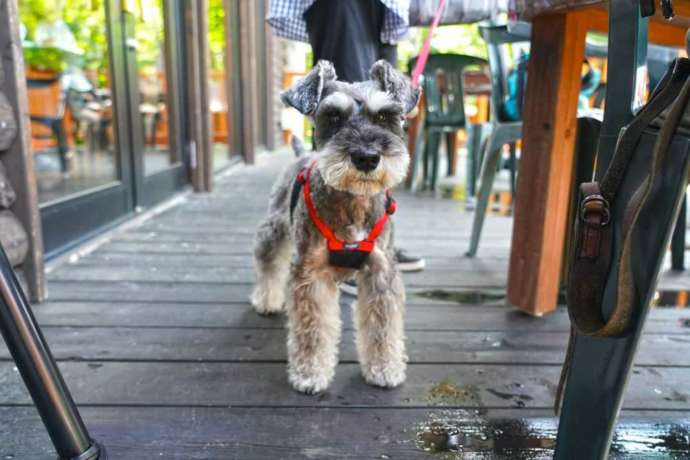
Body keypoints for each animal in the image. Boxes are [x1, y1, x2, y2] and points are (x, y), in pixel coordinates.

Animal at [249, 59, 416, 394]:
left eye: (385, 116)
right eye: (333, 116)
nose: (366, 158)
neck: (353, 202)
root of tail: (302, 154)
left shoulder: (381, 272)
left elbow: (383, 326)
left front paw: (384, 368)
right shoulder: (311, 273)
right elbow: (312, 329)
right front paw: (310, 373)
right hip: (274, 229)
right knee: (267, 260)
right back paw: (267, 299)